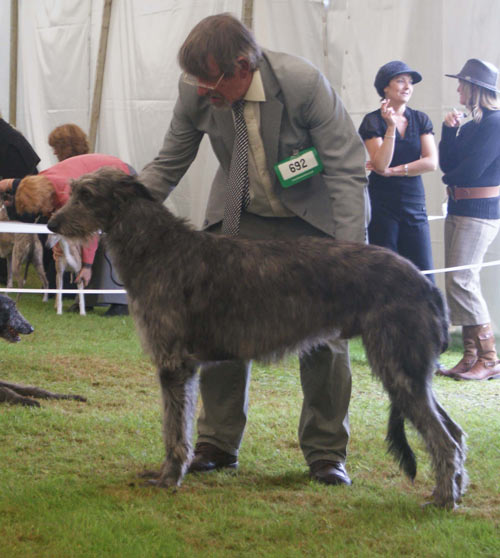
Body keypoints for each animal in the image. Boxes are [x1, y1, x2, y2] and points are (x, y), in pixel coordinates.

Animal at [47, 168, 464, 510]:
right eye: (73, 190)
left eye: (86, 194)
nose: (51, 223)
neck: (157, 247)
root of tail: (426, 283)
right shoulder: (185, 366)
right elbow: (178, 424)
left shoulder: (174, 364)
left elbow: (174, 429)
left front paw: (168, 478)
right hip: (411, 371)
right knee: (455, 433)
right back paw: (454, 491)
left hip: (398, 364)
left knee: (443, 438)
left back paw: (443, 499)